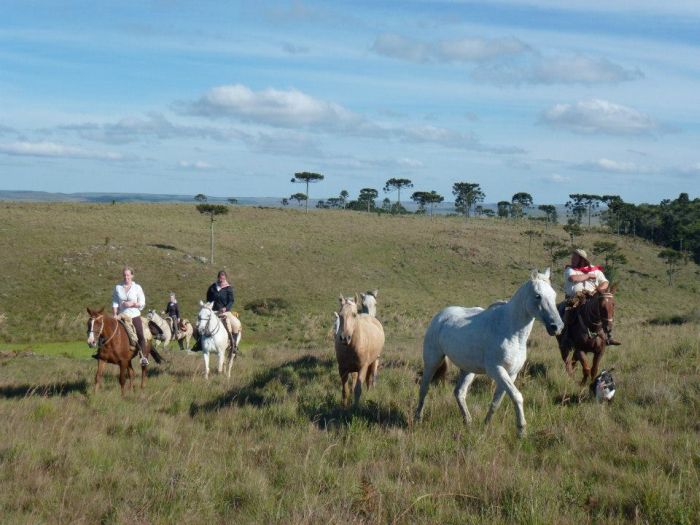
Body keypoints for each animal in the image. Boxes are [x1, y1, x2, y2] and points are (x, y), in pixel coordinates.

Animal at [416, 268, 564, 436]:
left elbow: (496, 402)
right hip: (432, 361)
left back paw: (468, 422)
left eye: (554, 295)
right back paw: (418, 419)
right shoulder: (497, 370)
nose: (557, 327)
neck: (510, 330)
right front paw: (521, 430)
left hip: (468, 370)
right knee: (424, 388)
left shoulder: (511, 374)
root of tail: (440, 316)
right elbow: (517, 396)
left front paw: (486, 425)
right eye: (538, 295)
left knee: (459, 392)